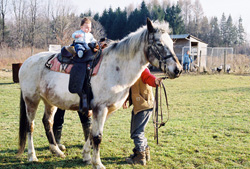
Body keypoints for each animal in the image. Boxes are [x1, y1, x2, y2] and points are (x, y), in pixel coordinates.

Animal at [17, 17, 182, 168]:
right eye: (159, 44)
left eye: (172, 44)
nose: (178, 70)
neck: (116, 67)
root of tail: (26, 62)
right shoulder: (100, 108)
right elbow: (97, 137)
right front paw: (97, 163)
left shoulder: (107, 110)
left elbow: (91, 133)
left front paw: (86, 156)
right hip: (31, 100)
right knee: (30, 126)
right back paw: (32, 156)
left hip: (49, 102)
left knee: (48, 122)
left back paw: (56, 150)